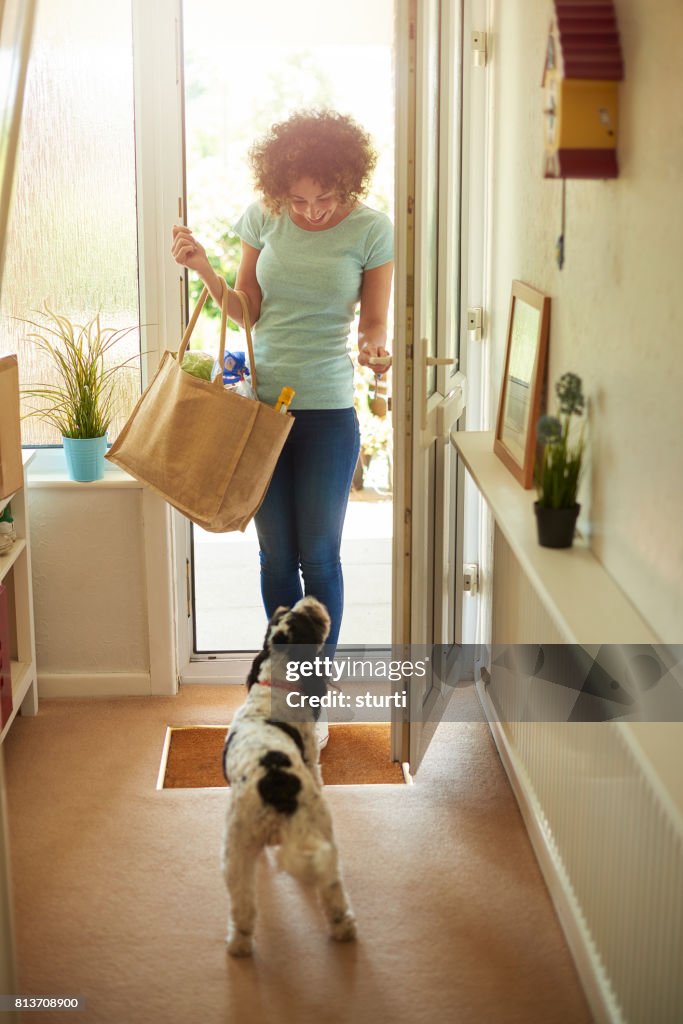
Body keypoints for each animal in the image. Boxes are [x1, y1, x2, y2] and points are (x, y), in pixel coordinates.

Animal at [222, 598, 356, 954]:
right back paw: (344, 928)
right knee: (332, 888)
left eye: (283, 616)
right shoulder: (310, 755)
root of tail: (275, 785)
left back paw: (239, 945)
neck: (273, 685)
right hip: (318, 828)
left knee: (243, 904)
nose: (308, 600)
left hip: (237, 850)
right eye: (305, 617)